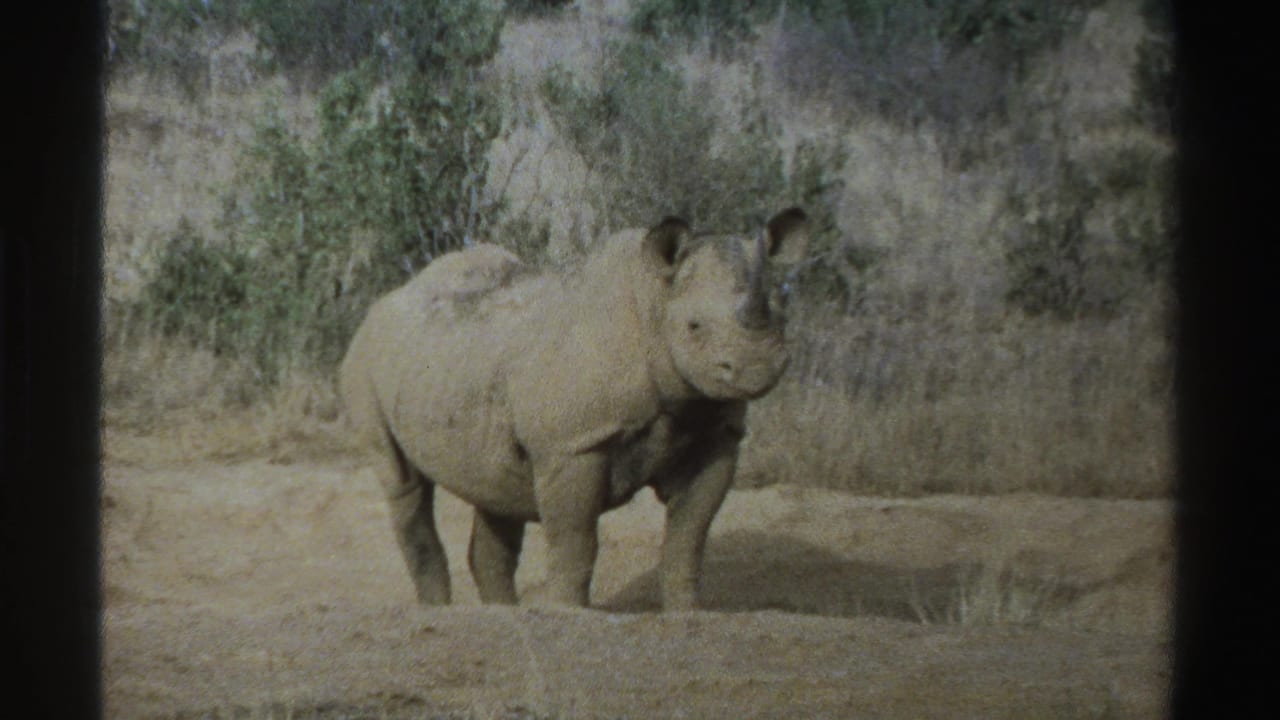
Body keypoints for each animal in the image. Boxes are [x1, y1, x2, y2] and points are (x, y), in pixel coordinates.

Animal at [339, 208, 810, 610]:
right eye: (694, 327)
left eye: (781, 316)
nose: (756, 366)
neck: (654, 304)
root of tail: (385, 301)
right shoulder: (573, 445)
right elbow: (576, 540)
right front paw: (568, 613)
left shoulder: (716, 436)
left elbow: (688, 538)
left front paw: (687, 613)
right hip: (366, 360)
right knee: (404, 482)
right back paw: (439, 610)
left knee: (494, 489)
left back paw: (503, 615)